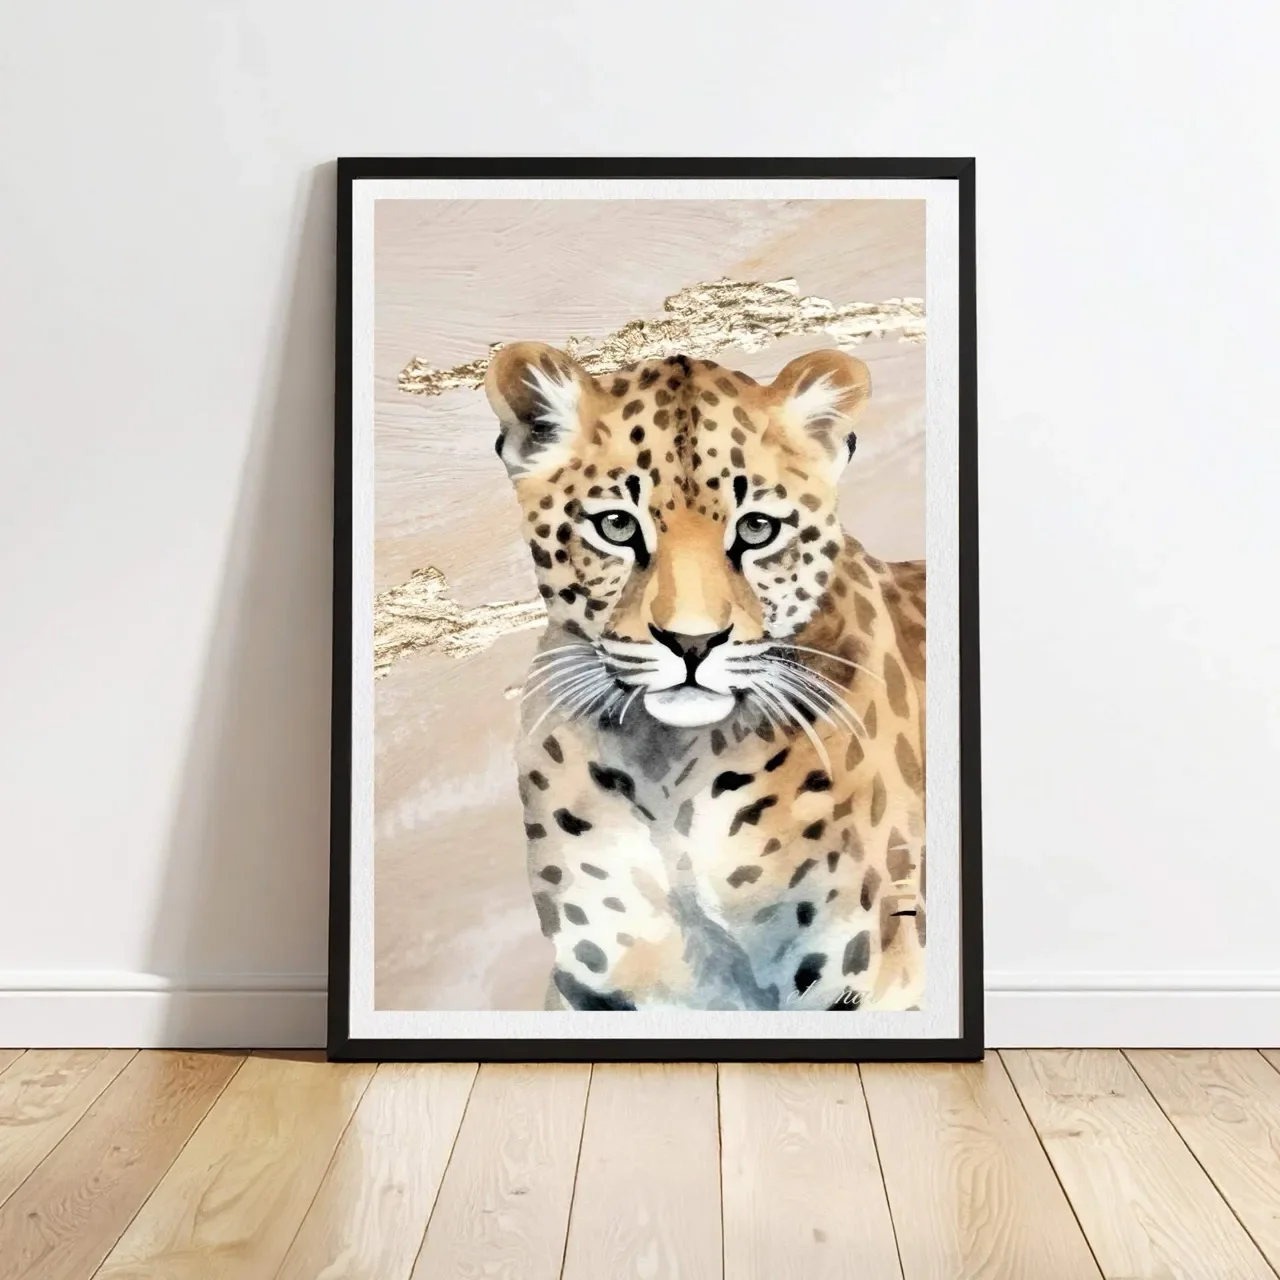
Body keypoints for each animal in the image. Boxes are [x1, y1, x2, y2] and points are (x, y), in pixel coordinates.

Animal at [484, 340, 926, 1012]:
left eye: (756, 529)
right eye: (616, 526)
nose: (692, 642)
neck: (667, 775)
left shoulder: (864, 978)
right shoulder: (598, 986)